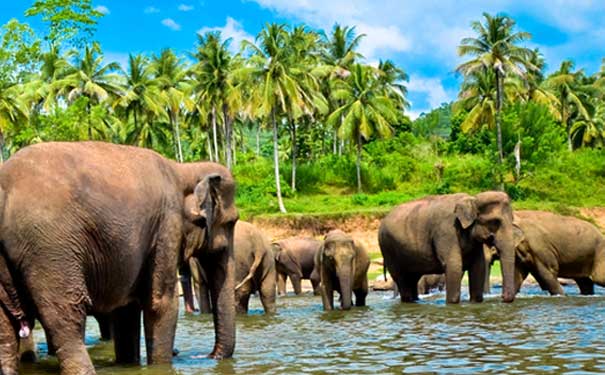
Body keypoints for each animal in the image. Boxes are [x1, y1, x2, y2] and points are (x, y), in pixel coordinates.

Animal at [0, 142, 238, 375]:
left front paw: (129, 365)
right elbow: (161, 304)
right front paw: (160, 366)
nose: (205, 356)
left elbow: (126, 309)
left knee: (6, 325)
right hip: (51, 249)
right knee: (66, 319)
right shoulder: (167, 225)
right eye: (231, 222)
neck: (183, 169)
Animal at [378, 192, 516, 304]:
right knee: (402, 279)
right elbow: (454, 265)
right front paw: (452, 303)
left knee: (413, 279)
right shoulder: (446, 231)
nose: (502, 297)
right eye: (496, 222)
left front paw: (476, 301)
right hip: (388, 249)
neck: (472, 199)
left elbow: (478, 266)